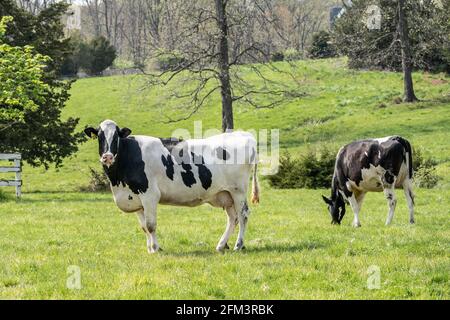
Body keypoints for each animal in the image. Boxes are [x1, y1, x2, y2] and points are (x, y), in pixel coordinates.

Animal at [85, 119, 260, 252]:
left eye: (116, 137)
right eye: (99, 136)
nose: (107, 156)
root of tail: (243, 134)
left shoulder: (149, 194)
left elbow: (150, 225)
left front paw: (155, 249)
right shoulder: (135, 197)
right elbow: (143, 226)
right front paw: (149, 248)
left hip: (238, 191)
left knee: (243, 215)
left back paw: (238, 245)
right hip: (225, 194)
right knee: (232, 218)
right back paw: (221, 245)